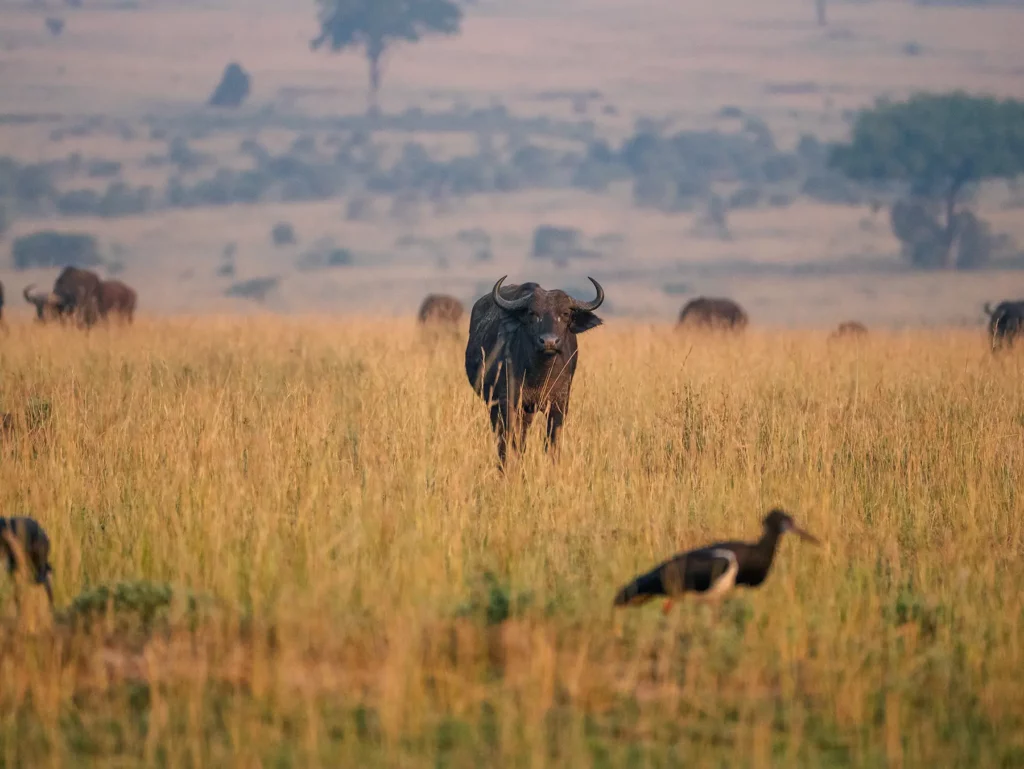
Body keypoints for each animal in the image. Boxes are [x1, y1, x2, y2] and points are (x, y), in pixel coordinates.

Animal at [465, 276, 604, 468]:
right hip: (495, 404)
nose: (549, 341)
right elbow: (510, 441)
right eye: (532, 313)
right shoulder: (508, 403)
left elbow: (551, 443)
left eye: (565, 313)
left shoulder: (558, 405)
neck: (539, 375)